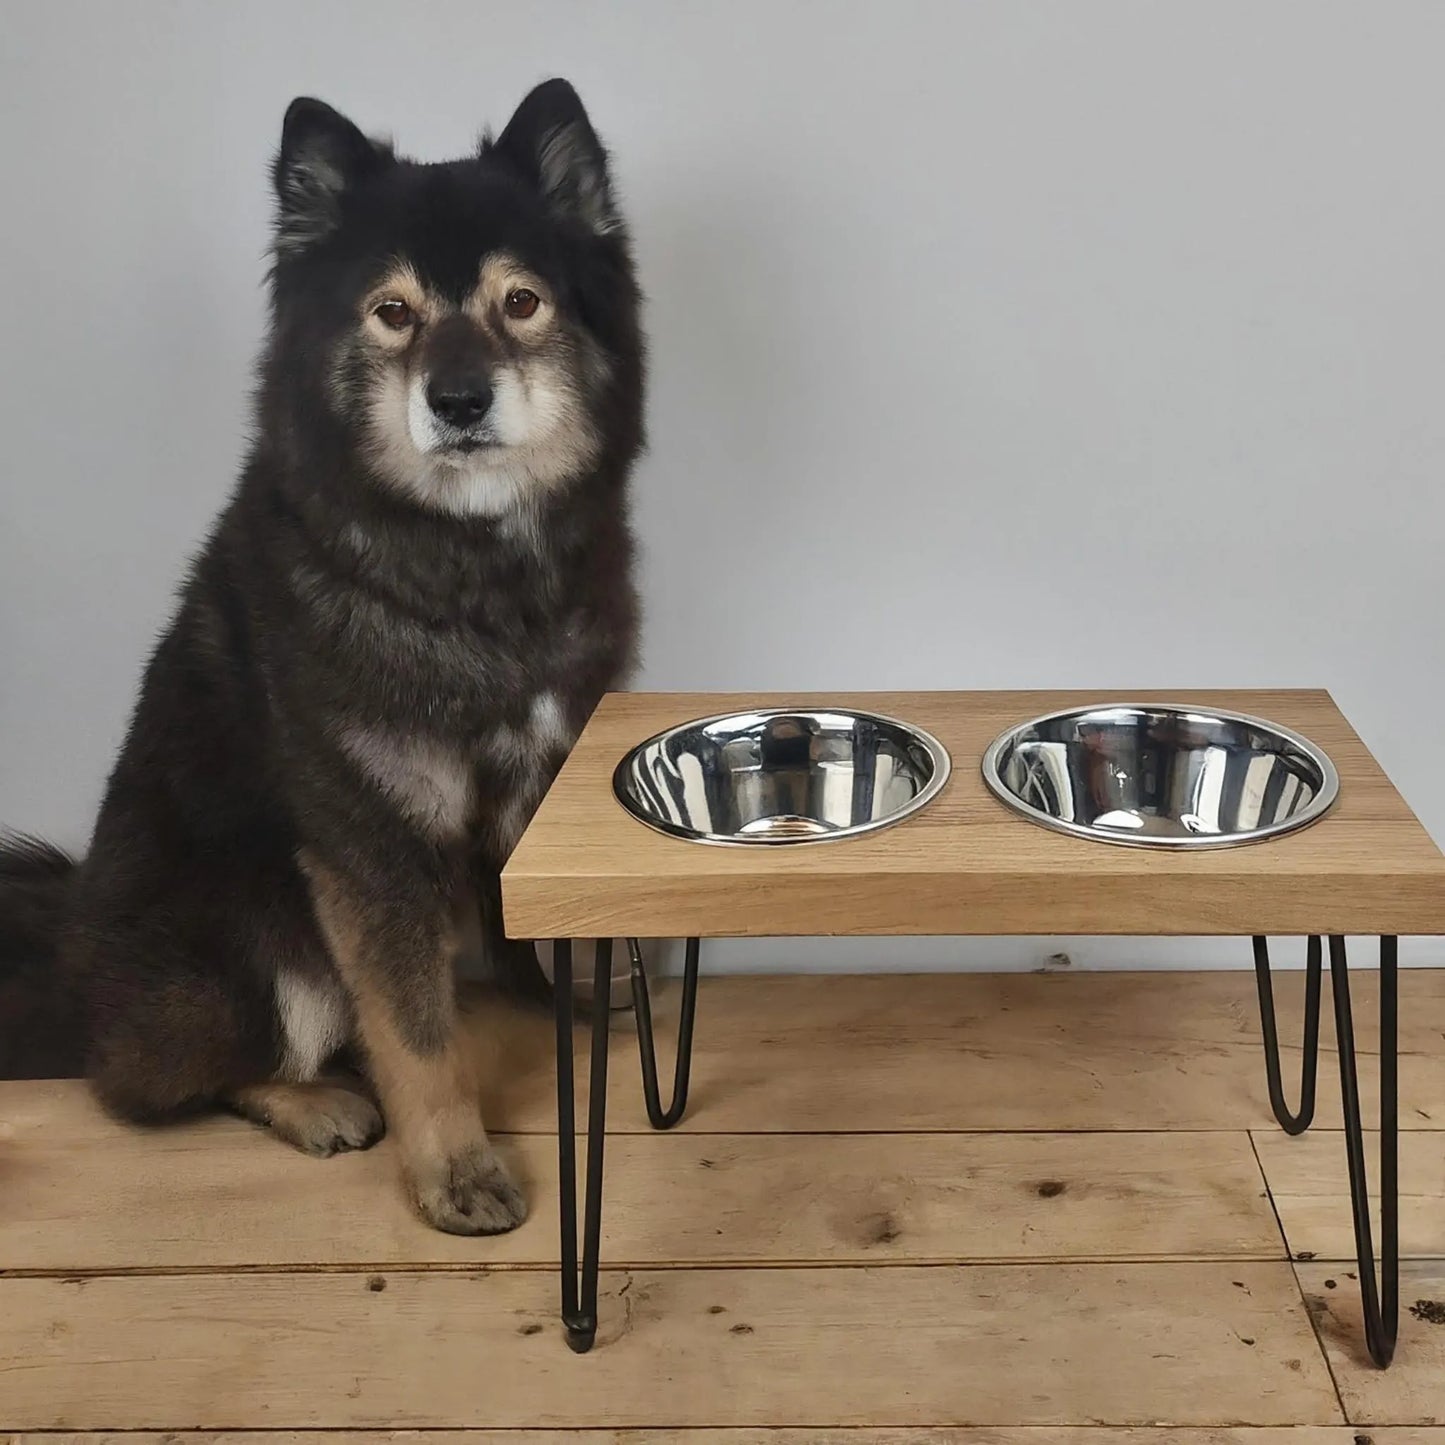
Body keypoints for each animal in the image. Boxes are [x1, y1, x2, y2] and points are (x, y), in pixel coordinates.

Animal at [0, 76, 644, 1231]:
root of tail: (65, 951)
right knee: (145, 1080)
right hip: (262, 938)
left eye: (520, 302)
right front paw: (456, 1170)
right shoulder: (368, 837)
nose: (458, 400)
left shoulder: (538, 770)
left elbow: (533, 921)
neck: (467, 570)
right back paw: (310, 1099)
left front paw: (571, 995)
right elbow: (421, 1037)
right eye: (392, 313)